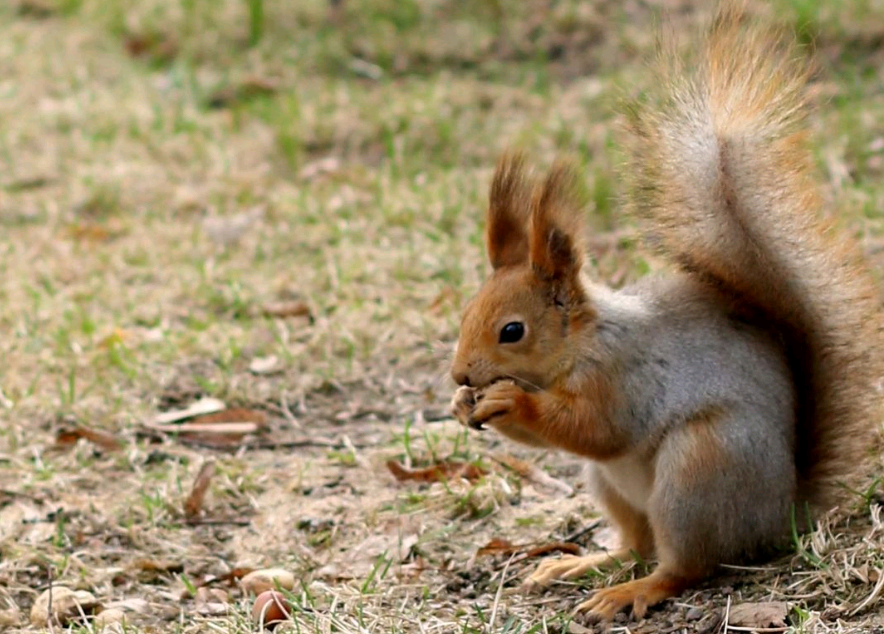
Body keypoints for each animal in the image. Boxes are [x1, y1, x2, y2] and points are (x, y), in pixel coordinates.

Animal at [452, 1, 880, 624]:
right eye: (465, 315)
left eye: (513, 330)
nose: (459, 373)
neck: (581, 343)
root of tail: (781, 515)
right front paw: (464, 405)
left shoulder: (624, 375)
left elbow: (597, 427)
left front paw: (510, 400)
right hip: (611, 487)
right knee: (637, 543)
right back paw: (582, 565)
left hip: (699, 468)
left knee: (683, 564)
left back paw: (634, 591)